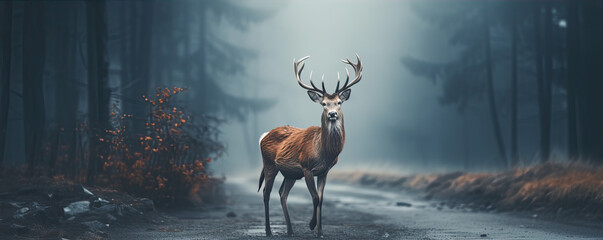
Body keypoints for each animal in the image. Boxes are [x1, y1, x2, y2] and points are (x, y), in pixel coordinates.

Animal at [256, 54, 364, 236]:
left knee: (282, 193)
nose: (332, 114)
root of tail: (264, 135)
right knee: (266, 192)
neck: (325, 153)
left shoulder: (324, 171)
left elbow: (321, 198)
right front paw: (312, 225)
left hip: (290, 173)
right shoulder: (306, 167)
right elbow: (314, 197)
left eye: (339, 102)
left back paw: (290, 230)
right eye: (324, 104)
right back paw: (269, 231)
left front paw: (320, 231)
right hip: (269, 163)